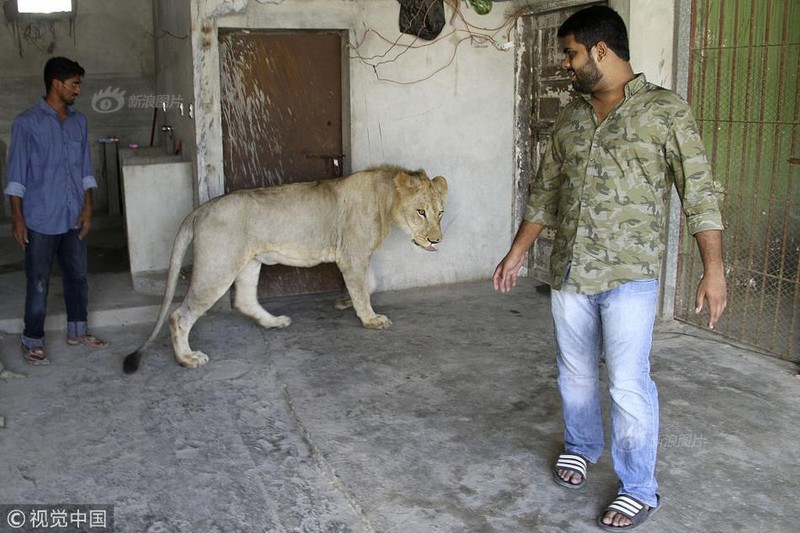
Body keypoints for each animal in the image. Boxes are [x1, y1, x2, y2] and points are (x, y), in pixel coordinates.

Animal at [122, 167, 446, 374]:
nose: (436, 241)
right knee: (179, 316)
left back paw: (274, 322)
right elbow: (364, 287)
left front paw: (344, 301)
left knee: (244, 300)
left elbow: (371, 282)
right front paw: (369, 319)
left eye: (440, 213)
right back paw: (187, 359)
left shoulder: (355, 256)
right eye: (421, 212)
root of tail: (200, 209)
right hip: (218, 267)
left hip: (249, 263)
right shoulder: (352, 256)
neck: (386, 200)